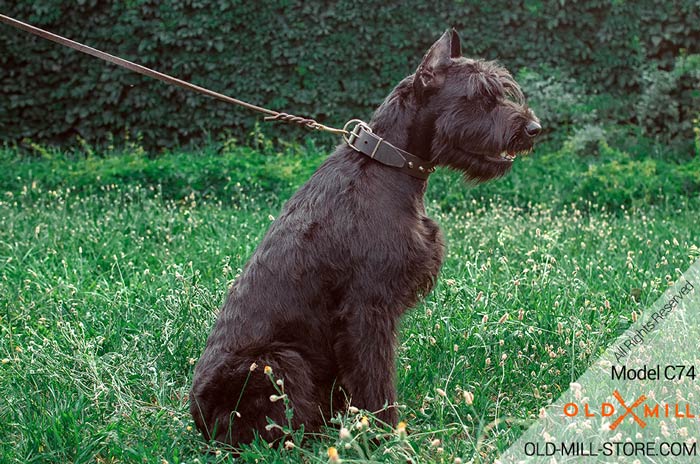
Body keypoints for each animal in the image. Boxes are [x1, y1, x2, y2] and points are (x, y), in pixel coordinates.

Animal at [189, 28, 540, 446]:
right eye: (479, 96)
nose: (534, 129)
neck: (386, 164)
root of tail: (200, 420)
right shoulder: (367, 308)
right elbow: (375, 379)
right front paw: (385, 436)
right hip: (279, 361)